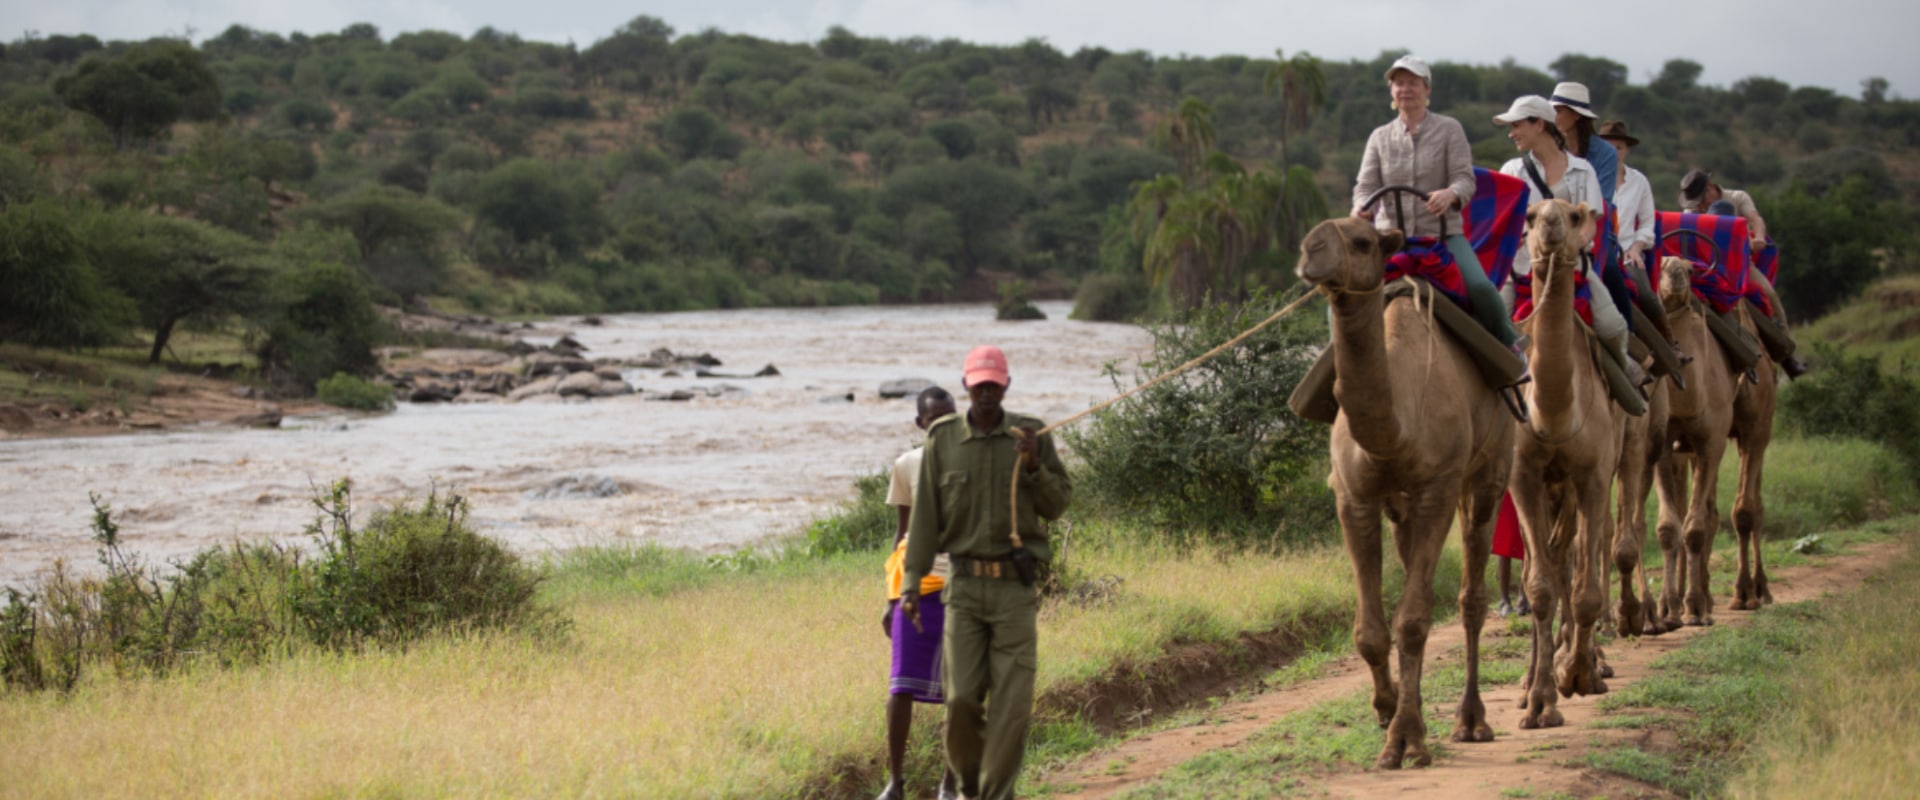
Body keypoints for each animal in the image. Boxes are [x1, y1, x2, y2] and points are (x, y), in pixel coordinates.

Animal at [1297, 214, 1520, 763]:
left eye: (1361, 241)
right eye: (1310, 235)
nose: (1310, 252)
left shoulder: (1439, 488)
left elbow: (1414, 620)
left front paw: (1405, 739)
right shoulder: (1353, 496)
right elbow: (1373, 630)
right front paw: (1386, 709)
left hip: (1489, 472)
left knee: (1471, 597)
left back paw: (1471, 721)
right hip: (1403, 509)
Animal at [1651, 255, 1781, 621]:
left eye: (1688, 269)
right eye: (1659, 265)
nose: (1674, 273)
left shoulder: (1714, 441)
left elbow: (1707, 524)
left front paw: (1697, 605)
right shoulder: (1667, 446)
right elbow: (1671, 526)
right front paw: (1669, 606)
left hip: (1758, 429)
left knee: (1751, 506)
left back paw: (1754, 591)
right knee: (1707, 511)